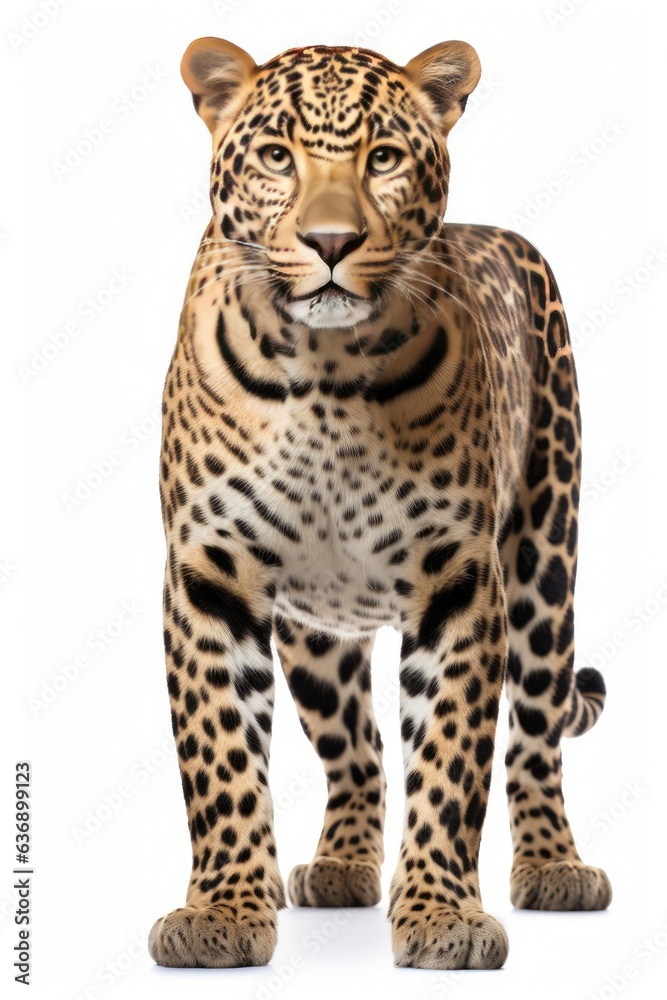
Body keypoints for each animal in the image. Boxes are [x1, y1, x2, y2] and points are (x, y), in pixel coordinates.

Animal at [148, 36, 612, 971]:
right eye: (277, 156)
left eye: (384, 158)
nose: (331, 240)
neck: (323, 369)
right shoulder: (211, 572)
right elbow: (220, 755)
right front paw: (221, 911)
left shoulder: (460, 580)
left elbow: (450, 759)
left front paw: (441, 915)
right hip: (313, 636)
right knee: (355, 752)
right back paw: (337, 867)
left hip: (546, 558)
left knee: (535, 732)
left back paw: (554, 867)